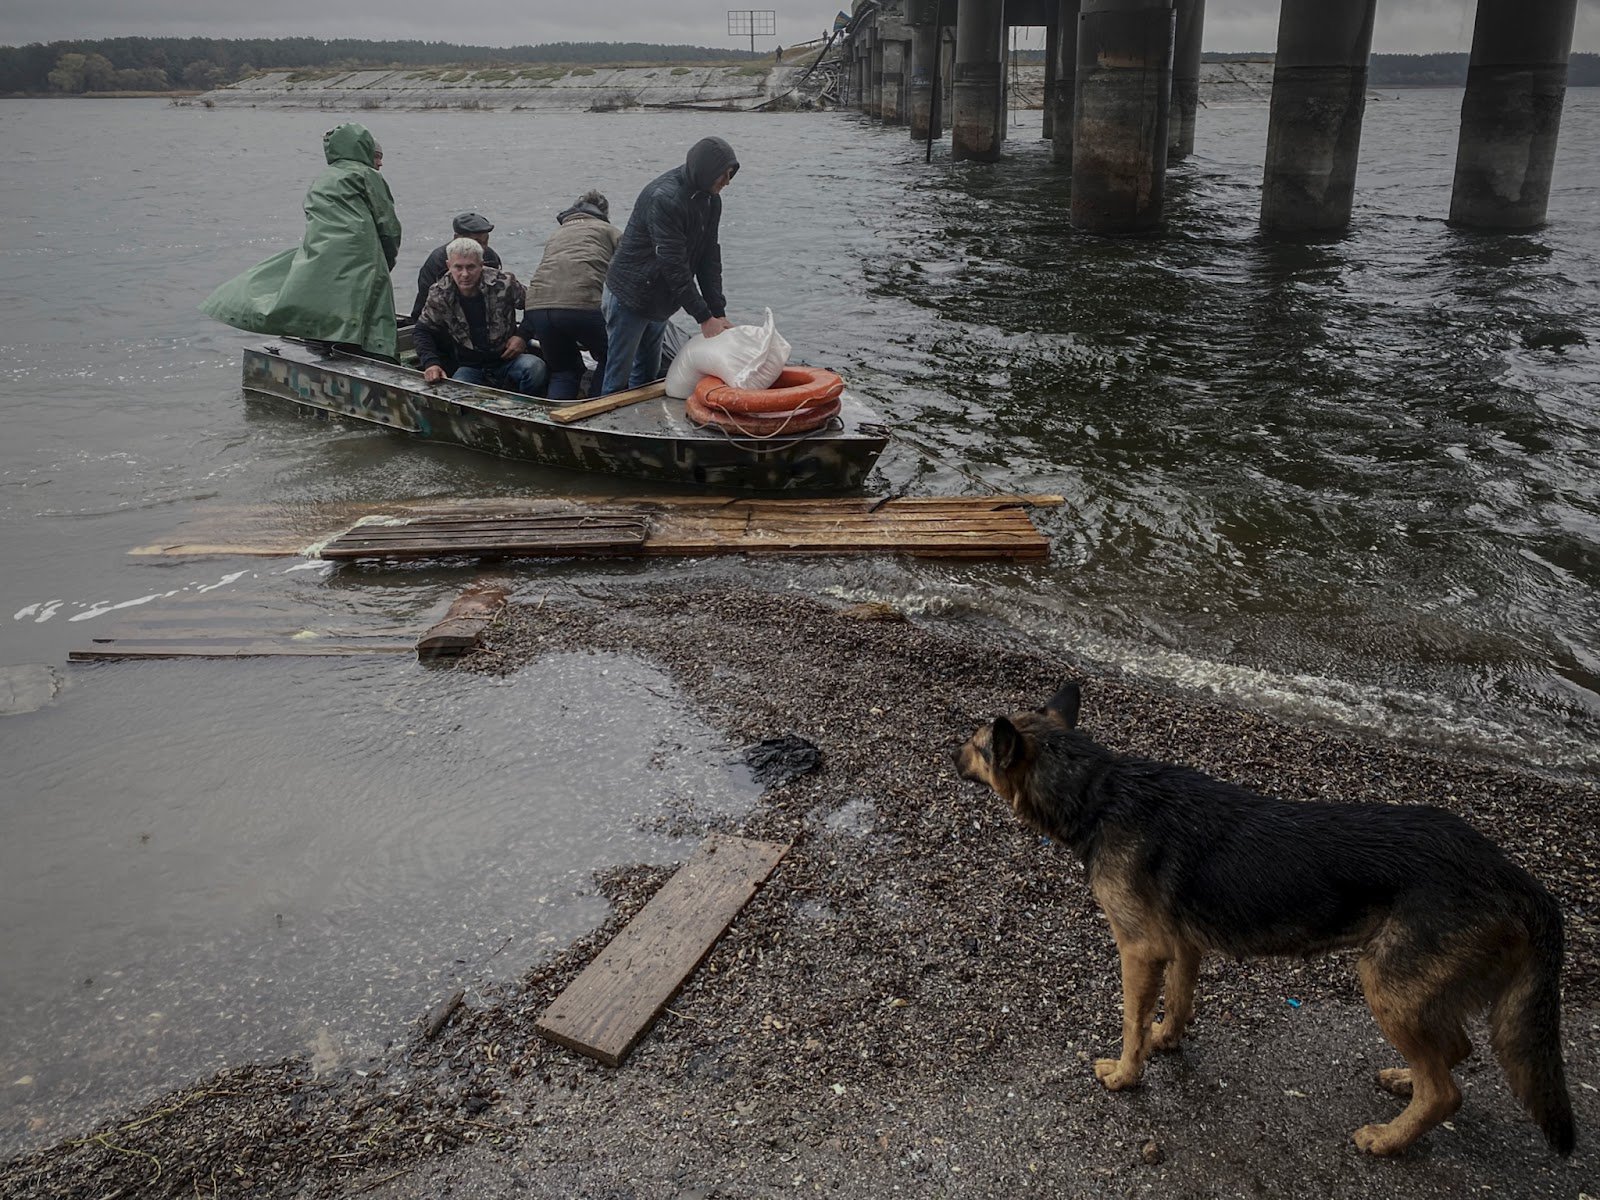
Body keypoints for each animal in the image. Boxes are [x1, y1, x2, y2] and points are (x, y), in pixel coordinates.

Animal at [947, 681, 1574, 1158]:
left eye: (977, 745)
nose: (949, 755)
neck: (1098, 790)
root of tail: (1518, 881)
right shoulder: (1182, 944)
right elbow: (1177, 1004)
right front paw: (1166, 1041)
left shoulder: (1140, 948)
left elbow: (1130, 1023)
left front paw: (1126, 1075)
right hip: (1415, 994)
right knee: (1452, 1054)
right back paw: (1404, 1081)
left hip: (1385, 985)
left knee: (1446, 1092)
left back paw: (1388, 1139)